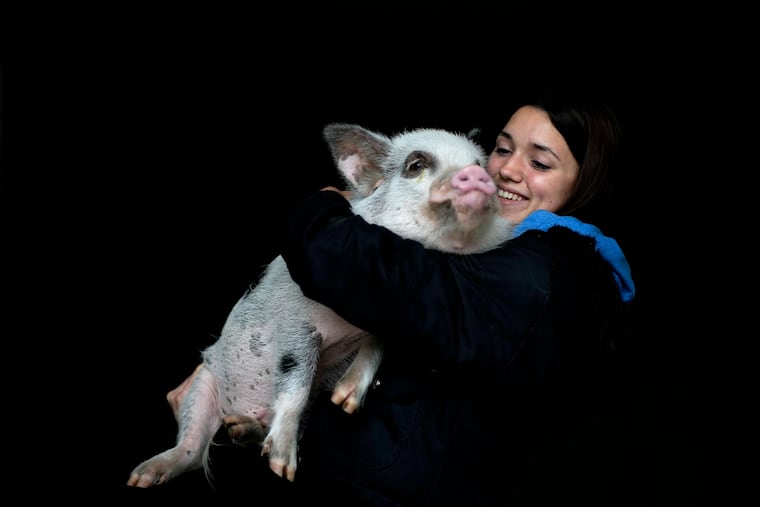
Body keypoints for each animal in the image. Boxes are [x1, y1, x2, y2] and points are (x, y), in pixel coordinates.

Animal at [127, 122, 515, 489]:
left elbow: (375, 347)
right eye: (416, 165)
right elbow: (294, 382)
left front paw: (345, 402)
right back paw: (142, 477)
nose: (477, 175)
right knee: (191, 449)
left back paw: (241, 429)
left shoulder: (390, 319)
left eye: (479, 163)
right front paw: (283, 469)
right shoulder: (296, 323)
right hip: (205, 382)